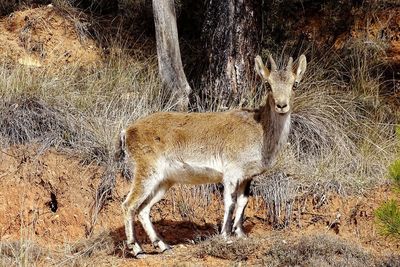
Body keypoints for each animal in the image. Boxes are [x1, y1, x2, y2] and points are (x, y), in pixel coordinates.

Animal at [119, 54, 306, 258]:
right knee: (129, 204)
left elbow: (243, 202)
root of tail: (127, 131)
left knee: (143, 209)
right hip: (146, 170)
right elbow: (230, 202)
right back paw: (137, 249)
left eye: (295, 84)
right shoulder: (231, 172)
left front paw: (240, 234)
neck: (259, 130)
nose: (282, 105)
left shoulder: (247, 176)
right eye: (268, 84)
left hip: (164, 180)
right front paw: (225, 235)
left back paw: (163, 245)